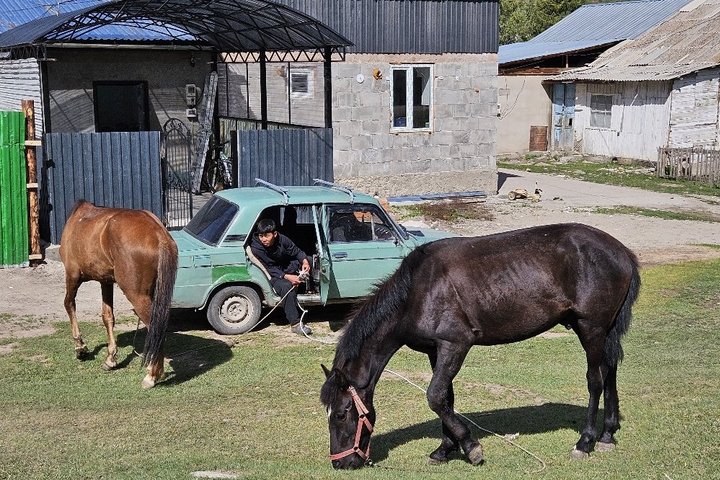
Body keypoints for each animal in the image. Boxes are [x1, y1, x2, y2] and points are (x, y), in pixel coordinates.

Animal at [59, 200, 178, 389]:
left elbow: (69, 304)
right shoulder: (106, 282)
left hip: (137, 295)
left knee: (154, 328)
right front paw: (111, 359)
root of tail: (158, 234)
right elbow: (107, 317)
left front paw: (80, 347)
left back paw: (152, 375)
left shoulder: (72, 274)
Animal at [320, 223, 640, 469]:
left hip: (591, 328)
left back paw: (585, 441)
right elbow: (446, 398)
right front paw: (444, 449)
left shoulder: (455, 345)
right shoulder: (436, 351)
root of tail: (622, 252)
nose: (341, 463)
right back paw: (607, 435)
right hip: (602, 331)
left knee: (595, 380)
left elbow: (435, 396)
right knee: (610, 371)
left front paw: (470, 447)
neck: (416, 292)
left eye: (341, 414)